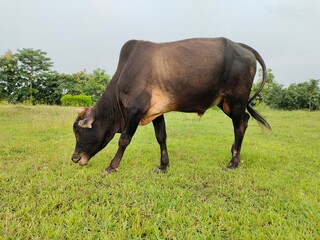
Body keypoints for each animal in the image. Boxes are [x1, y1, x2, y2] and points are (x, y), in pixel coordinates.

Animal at [70, 38, 270, 176]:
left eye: (79, 131)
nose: (74, 158)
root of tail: (241, 46)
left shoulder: (136, 109)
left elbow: (124, 139)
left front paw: (111, 167)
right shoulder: (156, 112)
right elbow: (161, 137)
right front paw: (163, 165)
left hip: (236, 100)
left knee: (239, 126)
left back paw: (233, 162)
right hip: (225, 103)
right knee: (244, 120)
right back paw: (234, 153)